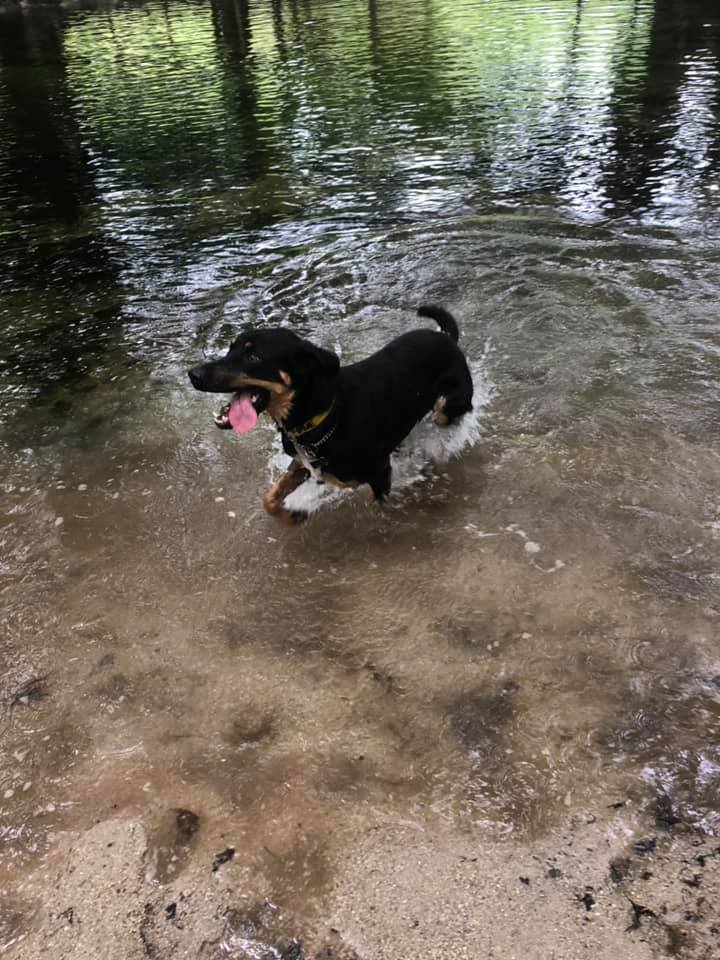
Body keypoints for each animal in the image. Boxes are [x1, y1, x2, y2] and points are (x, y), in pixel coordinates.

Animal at [188, 305, 473, 523]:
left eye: (254, 356)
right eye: (229, 348)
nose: (193, 374)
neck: (322, 413)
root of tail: (448, 337)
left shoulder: (378, 472)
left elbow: (380, 506)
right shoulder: (302, 464)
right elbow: (268, 499)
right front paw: (293, 516)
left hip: (447, 405)